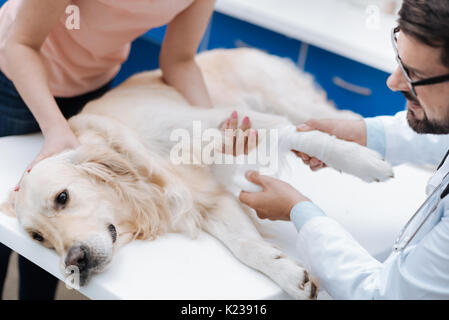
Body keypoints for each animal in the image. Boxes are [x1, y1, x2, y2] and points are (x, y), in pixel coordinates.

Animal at [0, 48, 392, 300]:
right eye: (38, 237)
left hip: (286, 100)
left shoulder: (222, 124)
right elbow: (247, 246)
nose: (74, 264)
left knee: (335, 119)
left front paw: (365, 163)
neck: (146, 168)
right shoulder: (207, 200)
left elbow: (301, 134)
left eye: (62, 197)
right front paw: (289, 274)